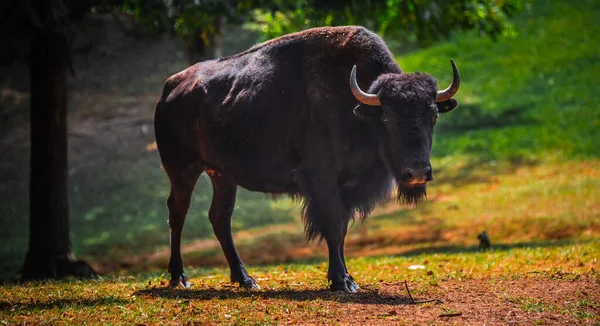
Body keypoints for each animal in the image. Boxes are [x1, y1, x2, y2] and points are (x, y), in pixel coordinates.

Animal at [154, 24, 460, 290]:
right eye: (387, 118)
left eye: (432, 115)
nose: (417, 172)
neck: (359, 108)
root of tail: (170, 88)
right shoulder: (322, 181)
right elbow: (333, 226)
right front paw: (341, 282)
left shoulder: (346, 187)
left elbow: (342, 229)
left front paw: (347, 278)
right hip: (183, 169)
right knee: (178, 213)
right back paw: (180, 277)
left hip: (222, 175)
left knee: (220, 217)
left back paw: (245, 279)